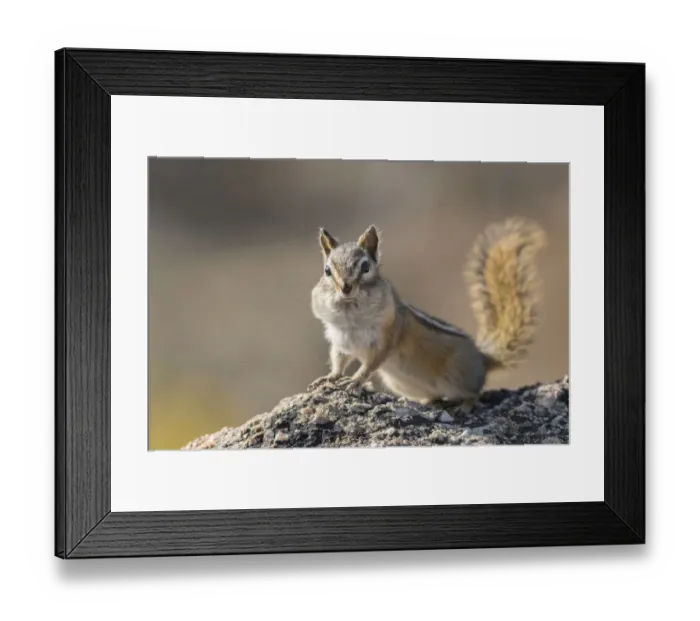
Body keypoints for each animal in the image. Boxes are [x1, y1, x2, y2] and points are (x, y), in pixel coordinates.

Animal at [309, 218, 546, 413]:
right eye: (327, 271)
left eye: (365, 267)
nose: (346, 288)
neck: (351, 315)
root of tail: (482, 359)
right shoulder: (340, 339)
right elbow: (338, 360)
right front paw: (330, 377)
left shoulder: (387, 337)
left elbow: (369, 365)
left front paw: (355, 382)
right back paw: (428, 402)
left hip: (457, 375)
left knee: (475, 392)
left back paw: (464, 406)